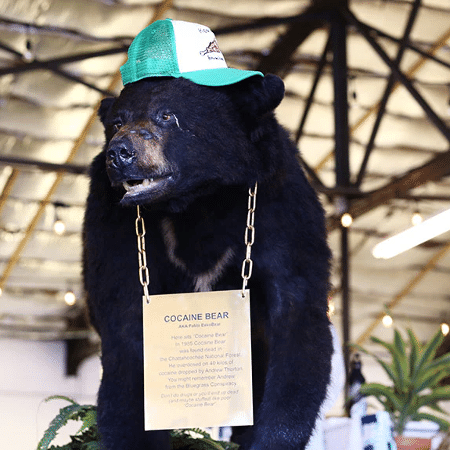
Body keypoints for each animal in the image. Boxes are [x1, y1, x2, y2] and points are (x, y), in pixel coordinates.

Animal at [82, 17, 332, 450]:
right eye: (117, 121)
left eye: (167, 116)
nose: (120, 152)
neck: (197, 201)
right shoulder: (110, 222)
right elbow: (126, 328)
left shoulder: (279, 203)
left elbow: (299, 313)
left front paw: (271, 438)